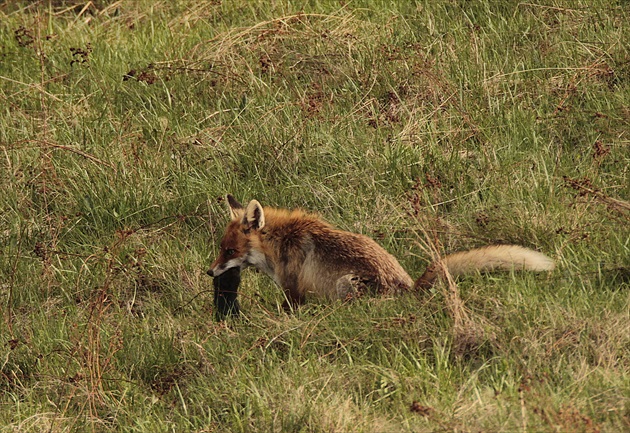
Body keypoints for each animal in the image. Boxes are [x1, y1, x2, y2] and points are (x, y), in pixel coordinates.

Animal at [207, 196, 552, 308]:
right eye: (220, 249)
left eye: (229, 250)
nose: (209, 272)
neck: (279, 243)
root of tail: (410, 288)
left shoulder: (294, 291)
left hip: (346, 284)